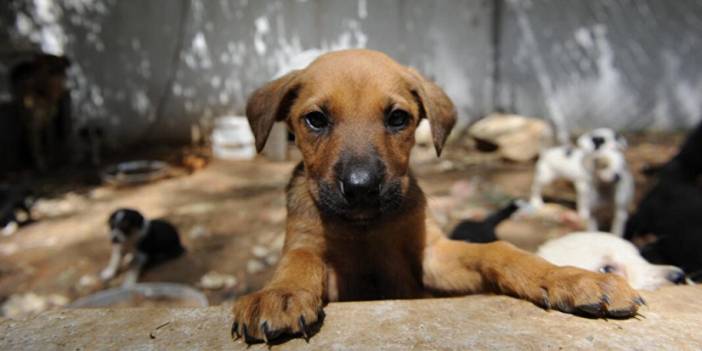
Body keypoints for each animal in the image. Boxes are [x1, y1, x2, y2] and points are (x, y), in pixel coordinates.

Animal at [231, 49, 644, 344]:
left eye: (398, 118)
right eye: (315, 120)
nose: (362, 188)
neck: (366, 228)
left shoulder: (431, 256)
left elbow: (499, 251)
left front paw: (571, 278)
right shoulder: (312, 250)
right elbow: (299, 260)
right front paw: (281, 293)